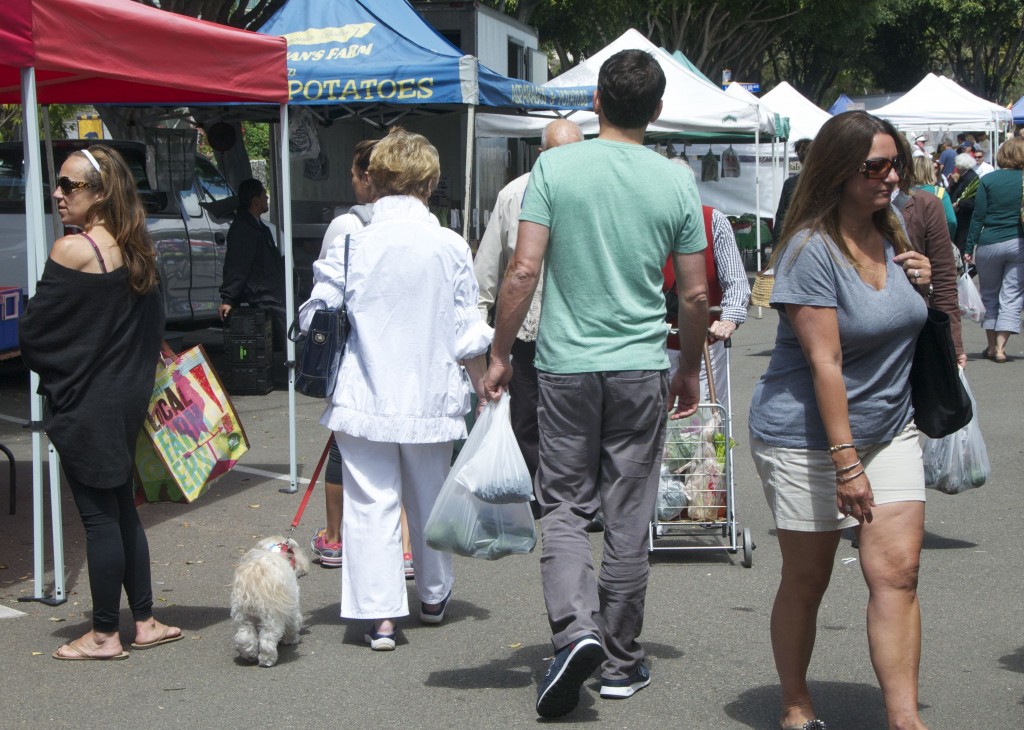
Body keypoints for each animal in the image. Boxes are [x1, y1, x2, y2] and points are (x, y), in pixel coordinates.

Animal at [230, 536, 309, 667]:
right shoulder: (291, 605)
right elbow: (293, 623)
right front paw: (291, 639)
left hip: (242, 615)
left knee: (244, 636)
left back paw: (249, 654)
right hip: (271, 616)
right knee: (267, 639)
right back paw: (267, 660)